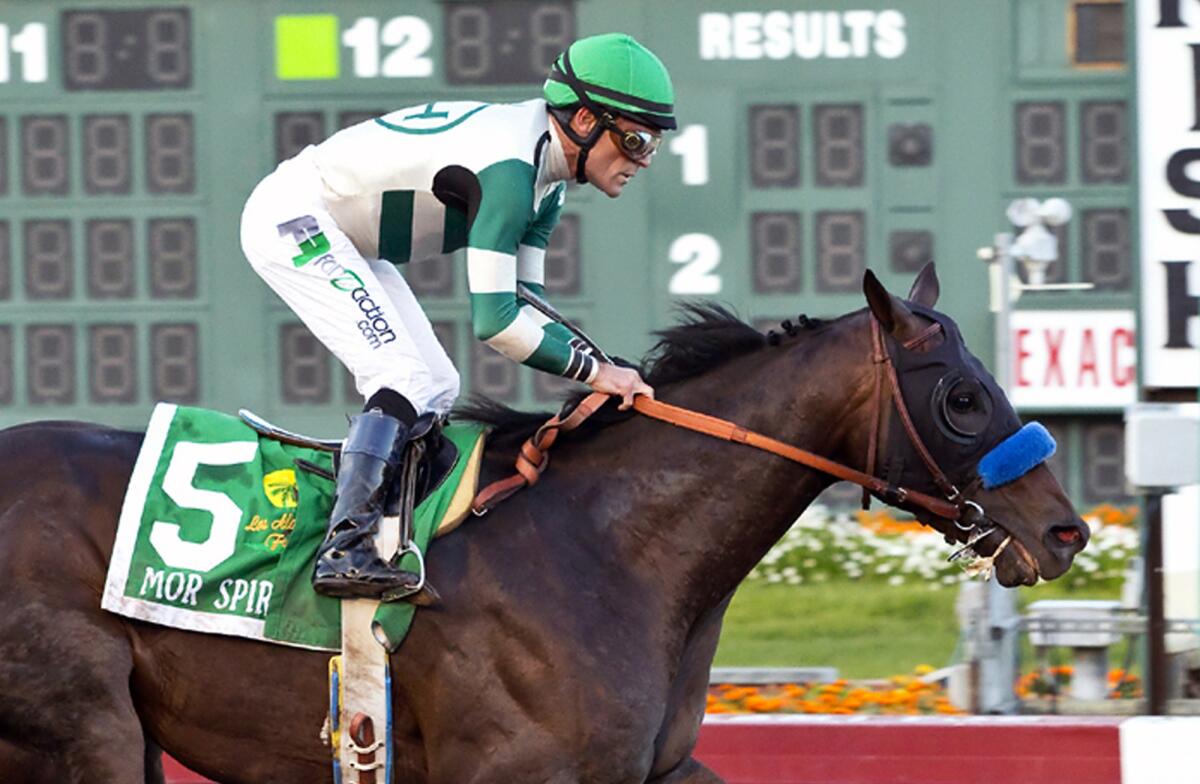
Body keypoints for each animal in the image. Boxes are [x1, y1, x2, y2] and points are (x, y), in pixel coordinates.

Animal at [0, 266, 1089, 777]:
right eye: (960, 397)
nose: (1067, 532)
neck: (610, 548)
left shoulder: (649, 769)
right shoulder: (514, 767)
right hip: (84, 728)